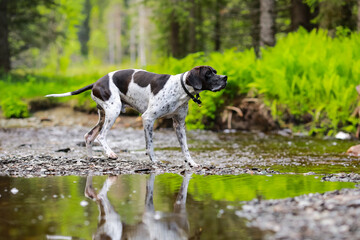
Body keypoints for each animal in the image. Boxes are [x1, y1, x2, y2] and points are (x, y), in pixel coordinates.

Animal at [46, 65, 228, 167]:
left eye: (215, 72)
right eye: (208, 74)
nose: (225, 78)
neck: (180, 88)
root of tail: (96, 82)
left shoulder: (179, 125)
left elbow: (185, 148)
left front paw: (191, 163)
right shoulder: (148, 118)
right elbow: (150, 145)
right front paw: (154, 161)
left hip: (103, 115)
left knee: (89, 136)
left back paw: (91, 158)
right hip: (113, 111)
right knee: (101, 136)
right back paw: (110, 154)